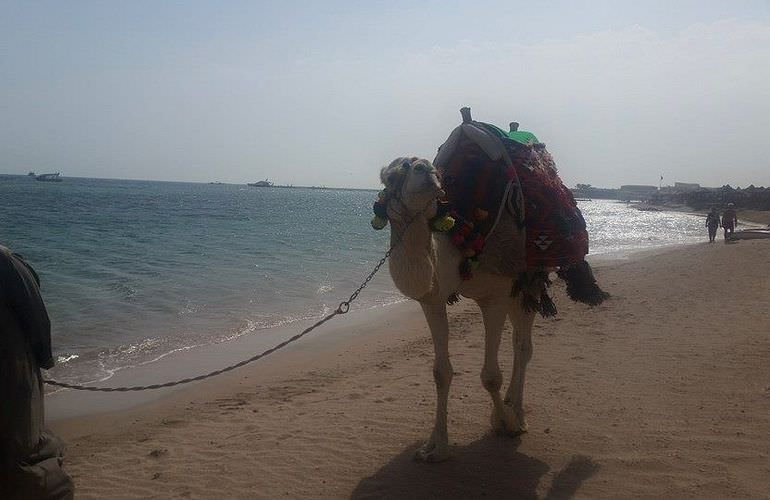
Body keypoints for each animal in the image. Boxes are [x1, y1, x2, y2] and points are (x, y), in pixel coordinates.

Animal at [378, 108, 608, 460]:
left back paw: (518, 413)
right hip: (518, 290)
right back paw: (513, 405)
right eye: (391, 176)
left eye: (431, 171)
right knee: (519, 343)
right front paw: (436, 447)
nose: (425, 169)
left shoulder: (494, 296)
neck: (456, 241)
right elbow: (440, 373)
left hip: (527, 280)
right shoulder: (432, 300)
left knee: (523, 346)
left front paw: (506, 425)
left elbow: (490, 376)